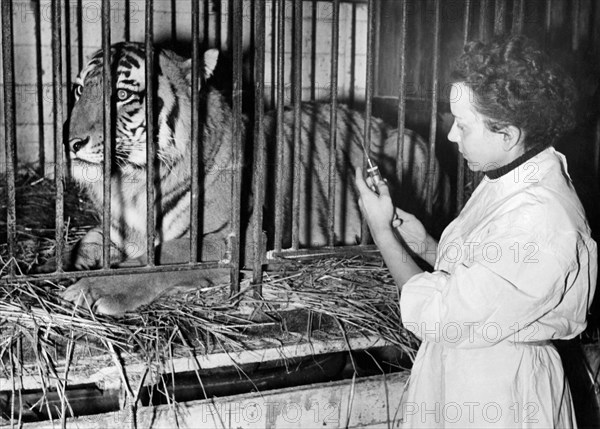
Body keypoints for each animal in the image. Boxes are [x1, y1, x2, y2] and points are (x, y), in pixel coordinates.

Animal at [62, 41, 446, 314]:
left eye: (122, 94)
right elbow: (86, 242)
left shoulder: (241, 237)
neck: (130, 183)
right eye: (79, 90)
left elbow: (166, 255)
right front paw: (70, 262)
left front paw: (92, 288)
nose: (70, 141)